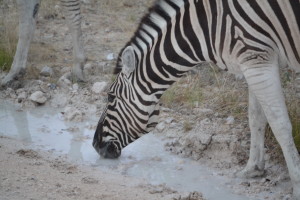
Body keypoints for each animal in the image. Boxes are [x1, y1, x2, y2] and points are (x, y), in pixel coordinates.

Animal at [92, 0, 298, 198]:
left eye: (110, 97)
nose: (94, 145)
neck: (207, 26)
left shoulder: (257, 59)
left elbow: (279, 125)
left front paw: (296, 185)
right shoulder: (252, 63)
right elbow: (256, 118)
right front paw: (252, 169)